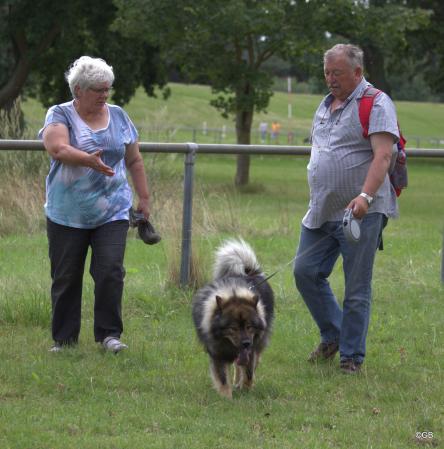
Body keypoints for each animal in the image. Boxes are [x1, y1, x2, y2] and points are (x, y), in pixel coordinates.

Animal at [192, 240, 274, 398]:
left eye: (249, 327)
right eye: (233, 328)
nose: (246, 343)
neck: (233, 293)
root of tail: (250, 272)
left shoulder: (250, 349)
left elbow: (248, 373)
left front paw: (246, 392)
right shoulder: (217, 354)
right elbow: (223, 378)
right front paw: (226, 398)